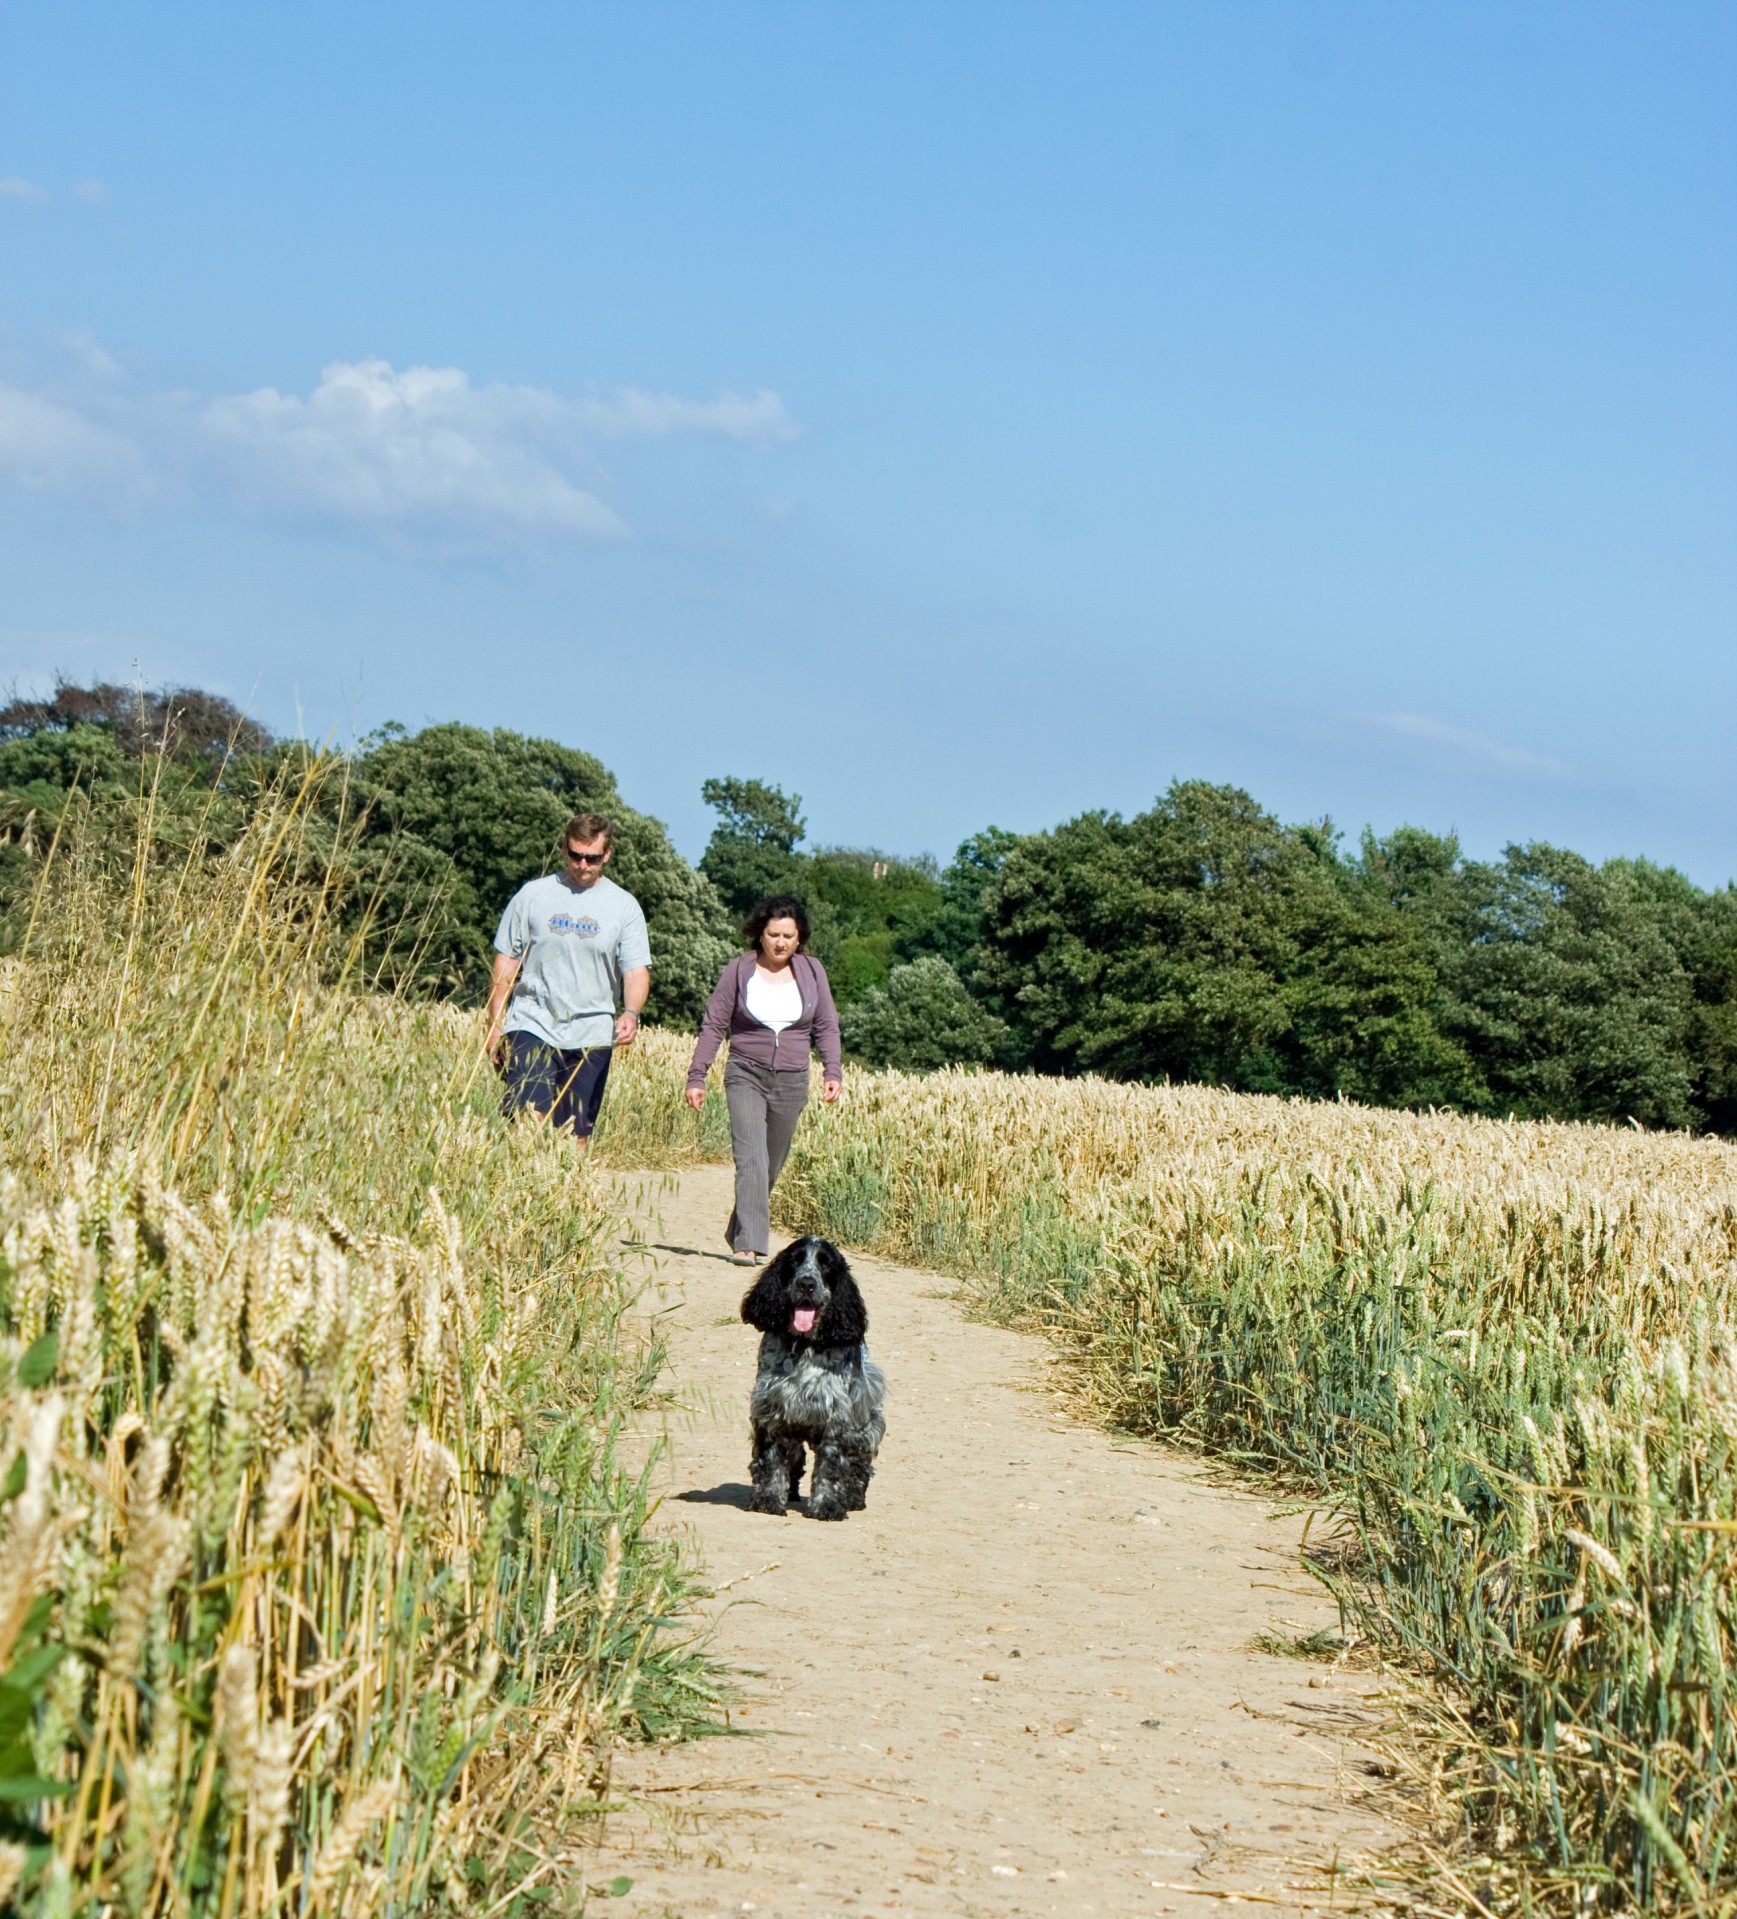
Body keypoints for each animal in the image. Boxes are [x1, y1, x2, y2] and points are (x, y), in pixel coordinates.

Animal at [737, 1235, 886, 1519]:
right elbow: (771, 1461)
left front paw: (827, 1506)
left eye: (825, 1264)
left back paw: (853, 1498)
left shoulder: (836, 1420)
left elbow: (831, 1467)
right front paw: (768, 1501)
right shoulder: (772, 1412)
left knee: (859, 1462)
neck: (803, 1346)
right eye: (795, 1261)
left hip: (864, 1422)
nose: (806, 1283)